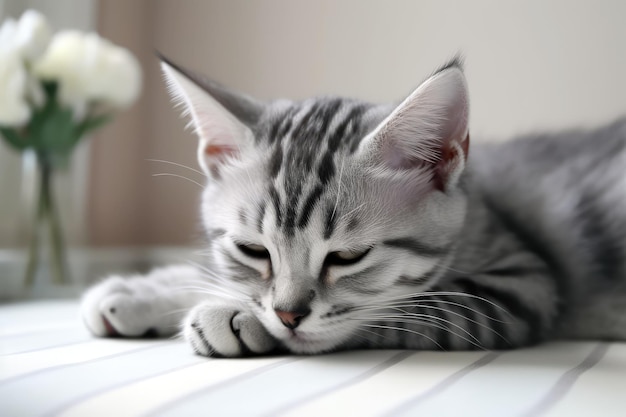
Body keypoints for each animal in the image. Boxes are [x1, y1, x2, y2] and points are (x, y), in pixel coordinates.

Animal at [80, 55, 620, 356]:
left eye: (347, 257)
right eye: (254, 250)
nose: (288, 316)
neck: (476, 206)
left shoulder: (522, 285)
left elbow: (398, 313)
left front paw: (233, 316)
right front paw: (141, 289)